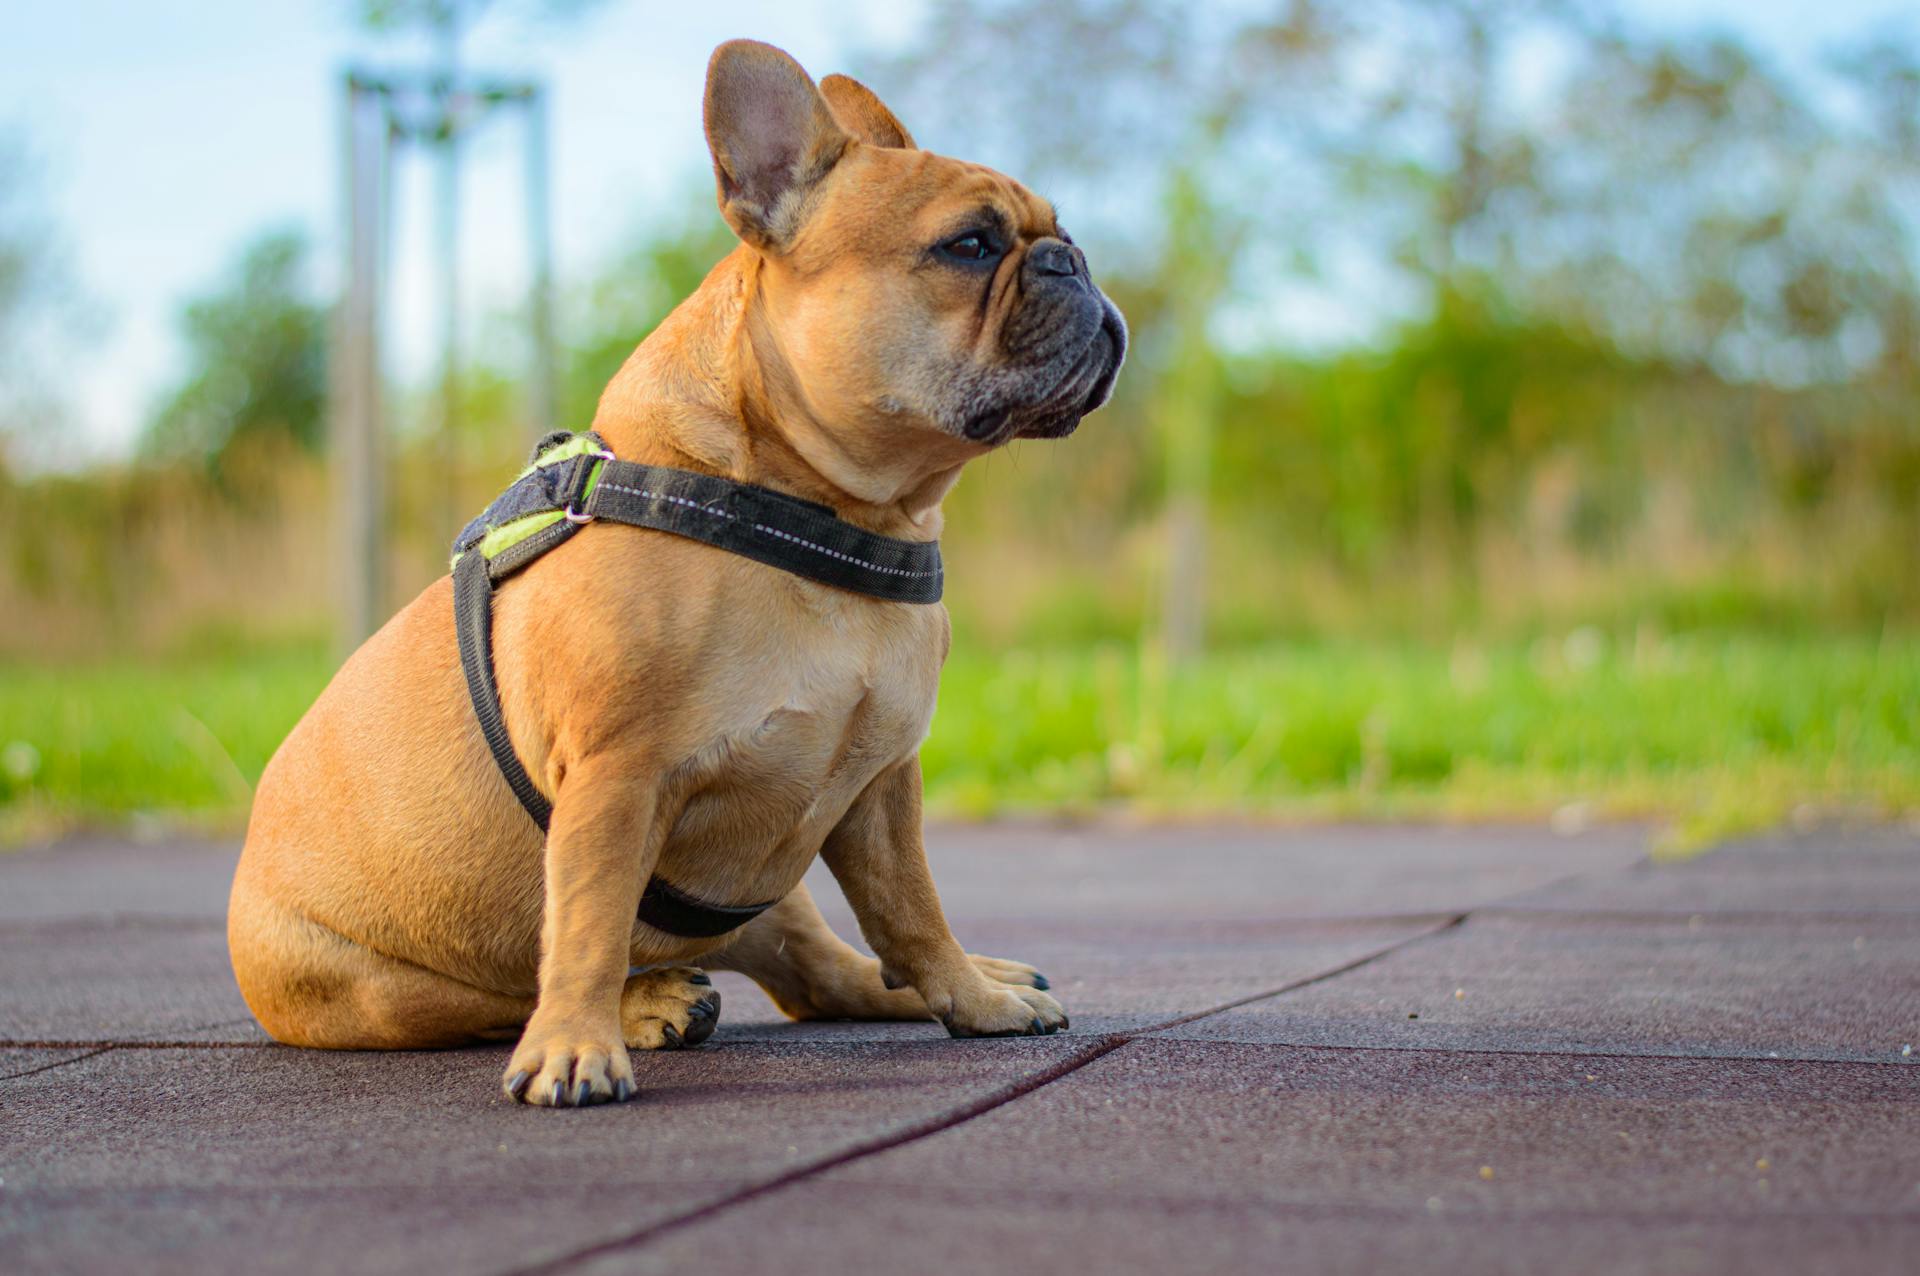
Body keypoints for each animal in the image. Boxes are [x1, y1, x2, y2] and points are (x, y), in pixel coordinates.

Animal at [228, 39, 1121, 1105]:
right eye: (972, 246)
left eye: (1057, 233)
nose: (1075, 261)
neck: (833, 511)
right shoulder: (617, 780)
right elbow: (585, 924)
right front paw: (576, 1049)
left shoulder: (878, 787)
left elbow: (911, 907)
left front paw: (971, 997)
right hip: (389, 989)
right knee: (514, 993)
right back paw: (640, 1007)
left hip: (761, 887)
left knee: (818, 971)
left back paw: (942, 978)